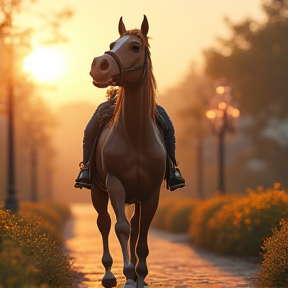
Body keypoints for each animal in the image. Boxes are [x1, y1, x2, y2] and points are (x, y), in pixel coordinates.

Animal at [90, 15, 166, 288]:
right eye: (113, 44)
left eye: (135, 47)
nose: (99, 65)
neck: (135, 136)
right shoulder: (115, 185)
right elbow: (121, 228)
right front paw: (128, 274)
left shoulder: (151, 193)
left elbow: (142, 232)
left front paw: (140, 275)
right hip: (97, 191)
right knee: (104, 223)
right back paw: (109, 275)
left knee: (135, 226)